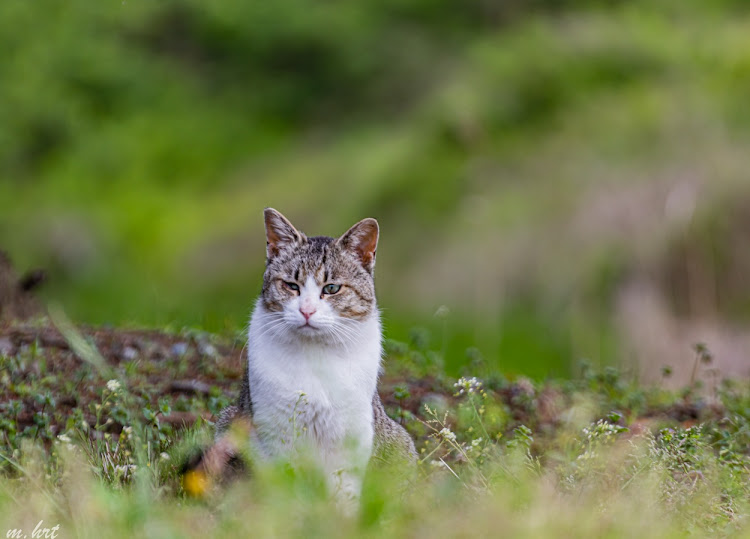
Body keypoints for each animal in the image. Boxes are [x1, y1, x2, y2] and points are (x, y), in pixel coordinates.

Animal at [194, 210, 418, 506]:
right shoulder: (276, 431)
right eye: (291, 286)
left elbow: (343, 487)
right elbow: (287, 482)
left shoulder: (348, 434)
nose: (307, 311)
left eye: (332, 288)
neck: (314, 354)